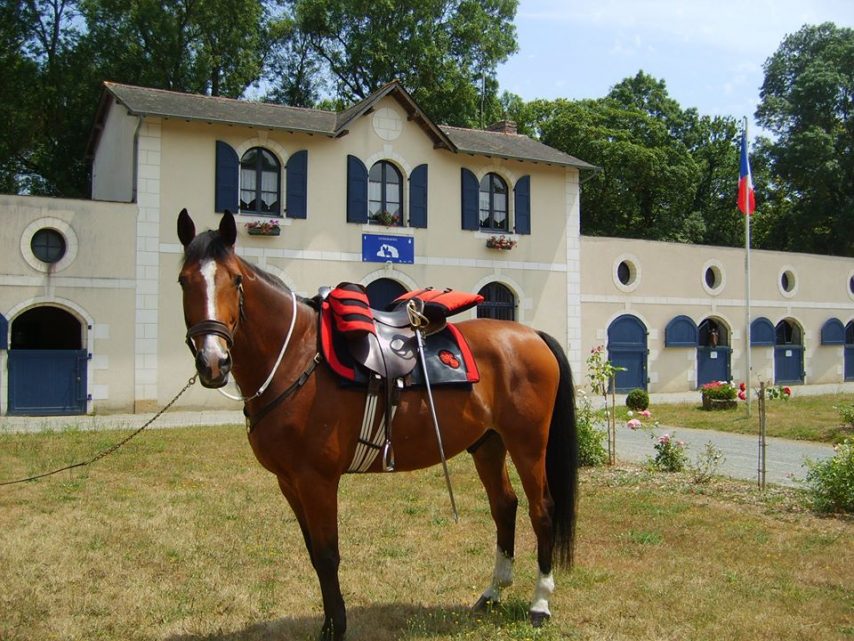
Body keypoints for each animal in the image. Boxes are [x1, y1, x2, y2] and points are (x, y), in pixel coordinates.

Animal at [176, 209, 578, 641]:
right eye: (183, 280)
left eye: (235, 279)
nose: (213, 362)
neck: (295, 357)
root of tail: (531, 334)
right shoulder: (289, 482)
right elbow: (313, 553)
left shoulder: (316, 480)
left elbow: (327, 555)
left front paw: (335, 628)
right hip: (488, 444)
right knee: (505, 506)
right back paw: (492, 593)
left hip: (528, 444)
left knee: (542, 510)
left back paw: (540, 603)